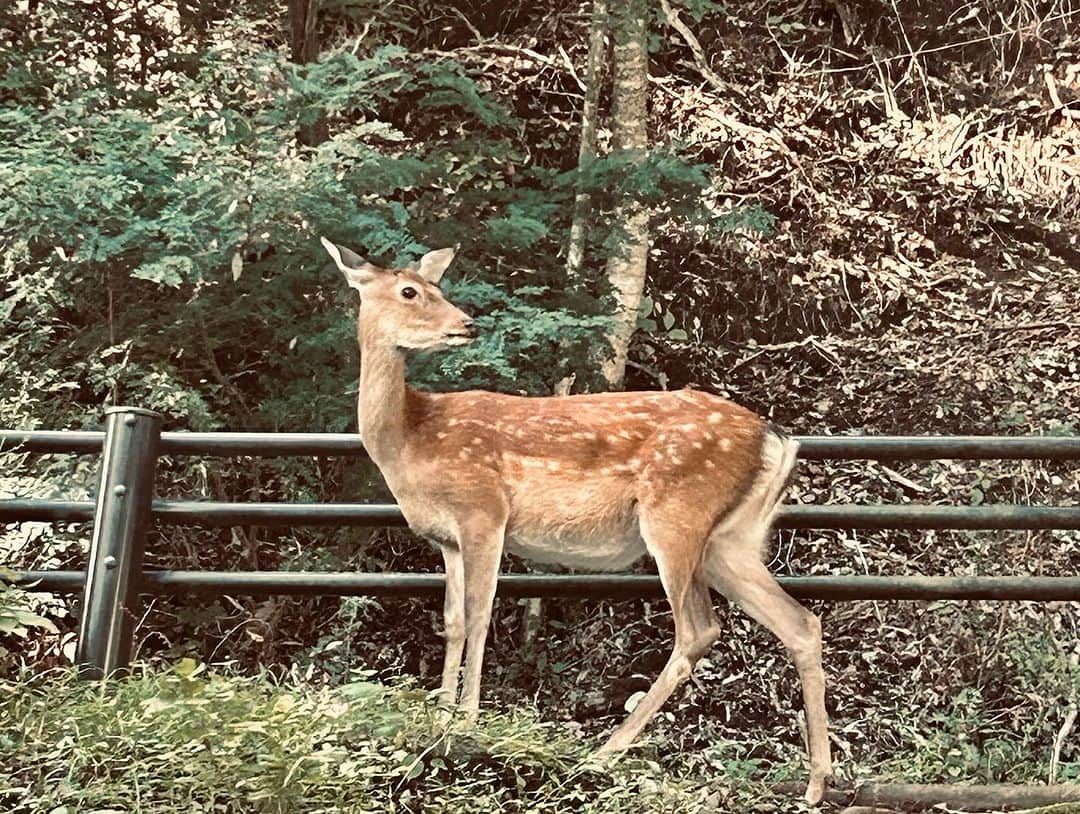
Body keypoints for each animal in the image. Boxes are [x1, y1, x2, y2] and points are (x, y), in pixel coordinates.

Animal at [319, 236, 833, 807]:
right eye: (411, 290)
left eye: (436, 285)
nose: (467, 324)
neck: (411, 439)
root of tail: (778, 439)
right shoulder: (447, 539)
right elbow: (452, 620)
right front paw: (439, 714)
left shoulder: (484, 511)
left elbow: (479, 616)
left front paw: (467, 723)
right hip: (731, 540)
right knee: (800, 623)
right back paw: (816, 783)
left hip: (677, 515)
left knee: (699, 629)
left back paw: (606, 750)